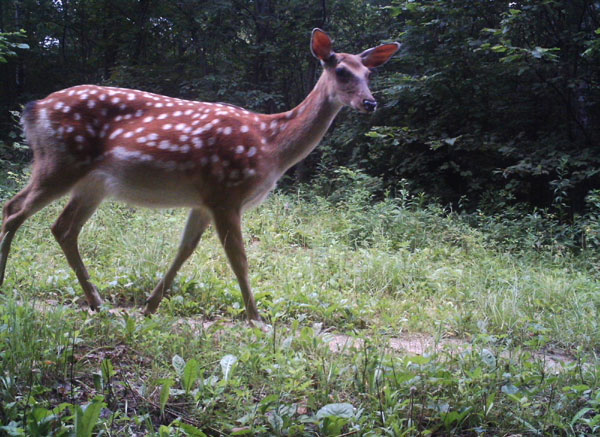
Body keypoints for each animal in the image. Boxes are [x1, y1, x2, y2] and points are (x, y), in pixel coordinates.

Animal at [1, 29, 404, 318]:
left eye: (369, 73)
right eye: (341, 71)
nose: (370, 102)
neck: (271, 145)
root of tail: (33, 110)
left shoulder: (204, 199)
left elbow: (186, 249)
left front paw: (150, 307)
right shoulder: (228, 192)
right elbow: (239, 259)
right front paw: (256, 318)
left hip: (92, 183)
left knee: (61, 228)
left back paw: (98, 303)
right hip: (60, 162)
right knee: (14, 210)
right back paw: (8, 282)